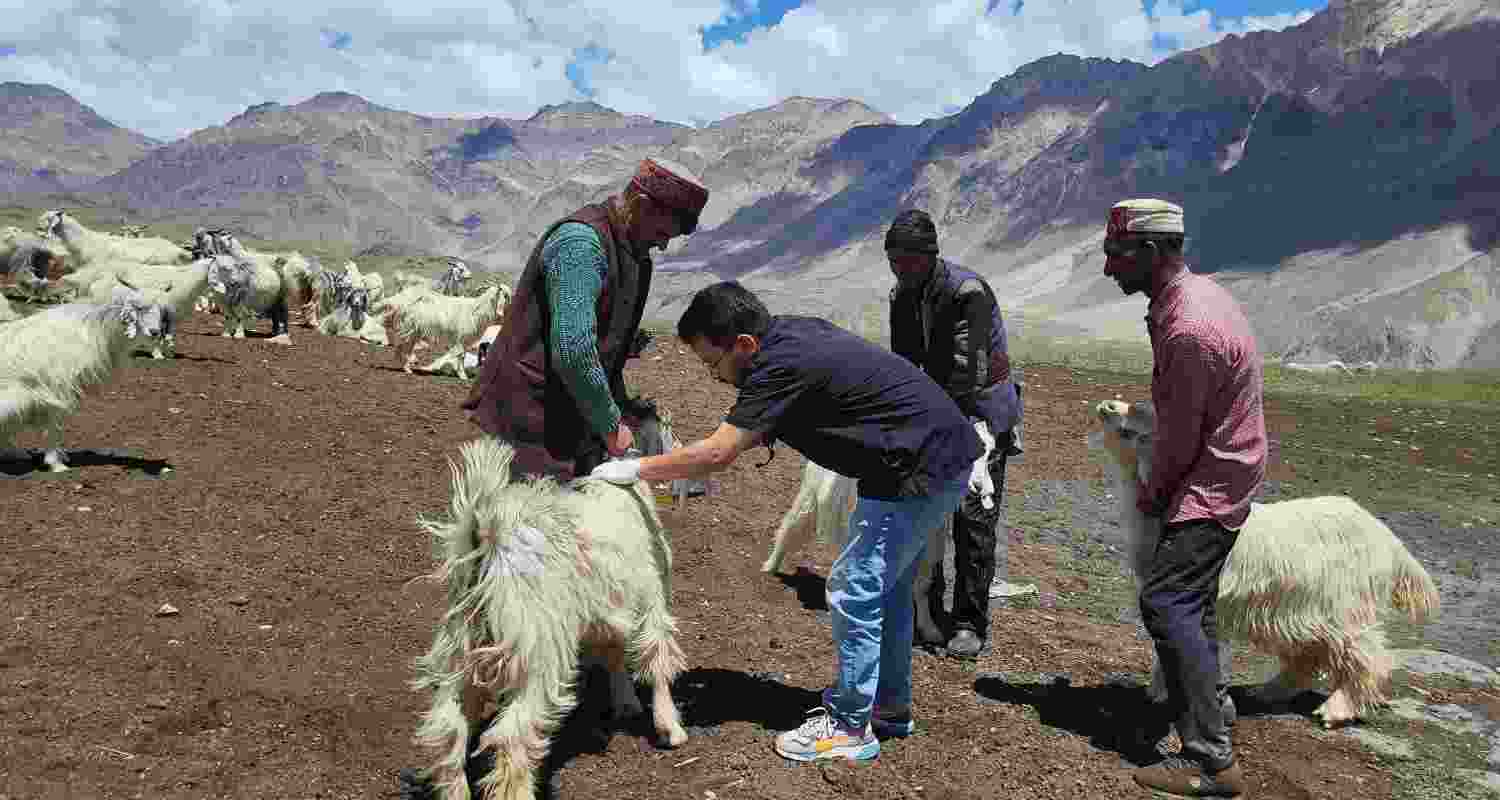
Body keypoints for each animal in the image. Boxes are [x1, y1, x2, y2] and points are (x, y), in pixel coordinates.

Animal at [0, 286, 168, 471]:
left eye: (160, 311)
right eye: (139, 309)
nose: (155, 332)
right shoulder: (56, 389)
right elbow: (54, 425)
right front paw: (57, 464)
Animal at [411, 435, 690, 798]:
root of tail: (486, 546)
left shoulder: (608, 611)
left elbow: (614, 653)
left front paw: (626, 704)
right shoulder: (651, 600)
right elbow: (657, 661)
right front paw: (670, 727)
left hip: (461, 653)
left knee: (449, 731)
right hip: (535, 657)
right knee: (512, 738)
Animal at [762, 417, 996, 648]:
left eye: (988, 454)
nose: (979, 486)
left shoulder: (928, 544)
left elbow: (921, 585)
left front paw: (928, 630)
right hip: (814, 498)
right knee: (792, 525)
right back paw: (770, 566)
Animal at [1092, 396, 1440, 726]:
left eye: (1143, 417)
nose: (1107, 405)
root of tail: (1387, 538)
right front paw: (1159, 691)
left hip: (1347, 603)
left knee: (1364, 651)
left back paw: (1337, 710)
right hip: (1304, 608)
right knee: (1309, 653)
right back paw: (1267, 692)